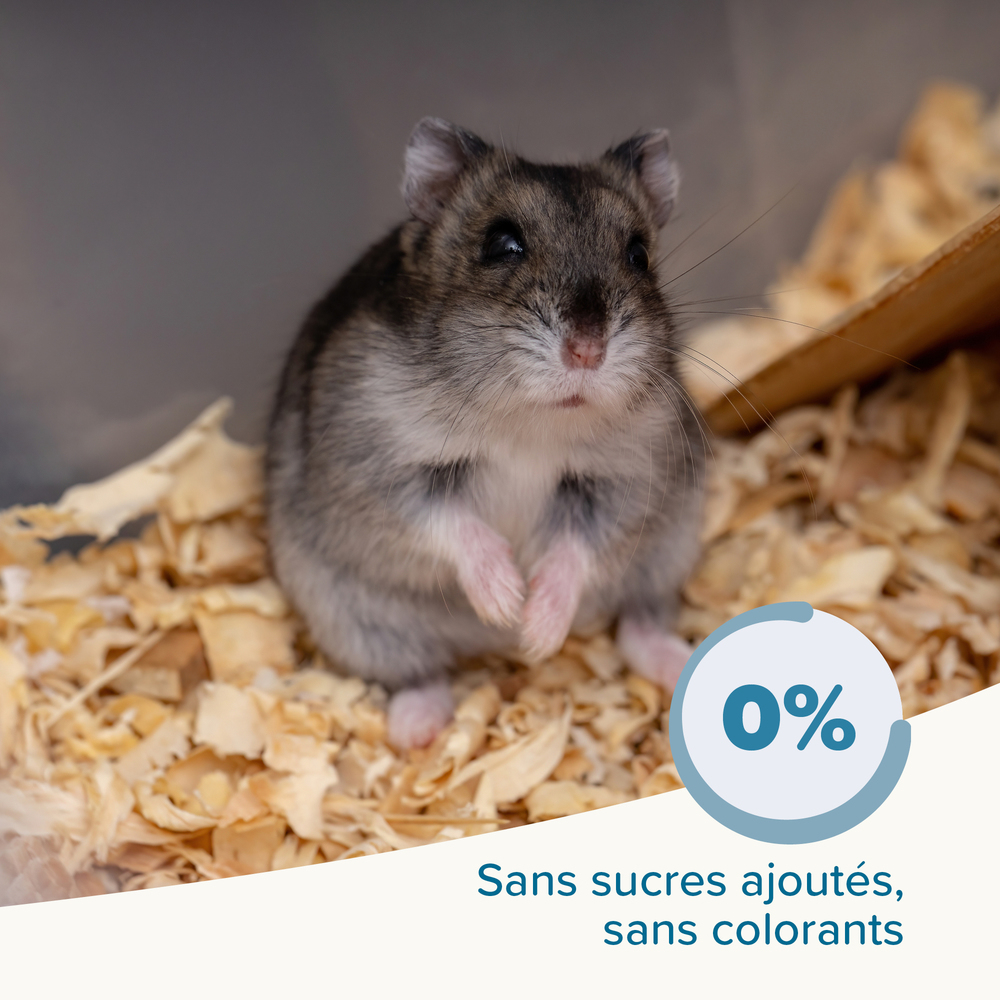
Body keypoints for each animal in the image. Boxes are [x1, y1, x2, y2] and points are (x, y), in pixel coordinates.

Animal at [266, 118, 705, 749]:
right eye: (500, 244)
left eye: (639, 253)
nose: (588, 351)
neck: (528, 421)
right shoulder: (380, 469)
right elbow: (450, 523)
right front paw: (505, 601)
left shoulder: (624, 479)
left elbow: (576, 547)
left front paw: (537, 629)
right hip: (355, 619)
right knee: (422, 674)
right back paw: (419, 724)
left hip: (665, 557)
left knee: (636, 627)